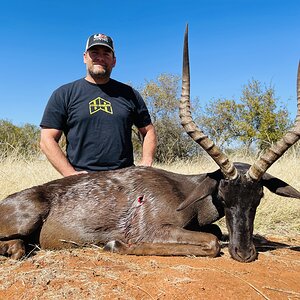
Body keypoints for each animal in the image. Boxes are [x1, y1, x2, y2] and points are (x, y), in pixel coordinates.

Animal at [0, 28, 300, 262]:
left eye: (258, 198)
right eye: (224, 197)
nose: (244, 253)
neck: (182, 189)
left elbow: (217, 233)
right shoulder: (155, 229)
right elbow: (212, 242)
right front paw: (115, 243)